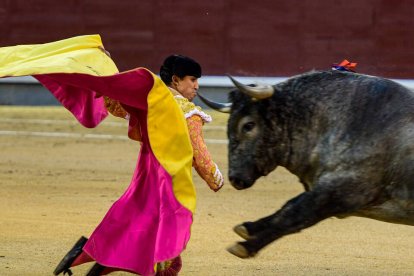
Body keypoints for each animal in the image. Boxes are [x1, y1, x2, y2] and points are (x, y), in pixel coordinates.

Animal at [197, 69, 414, 258]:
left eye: (248, 125)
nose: (234, 178)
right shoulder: (324, 189)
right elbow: (289, 206)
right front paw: (249, 227)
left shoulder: (342, 193)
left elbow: (296, 215)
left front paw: (246, 246)